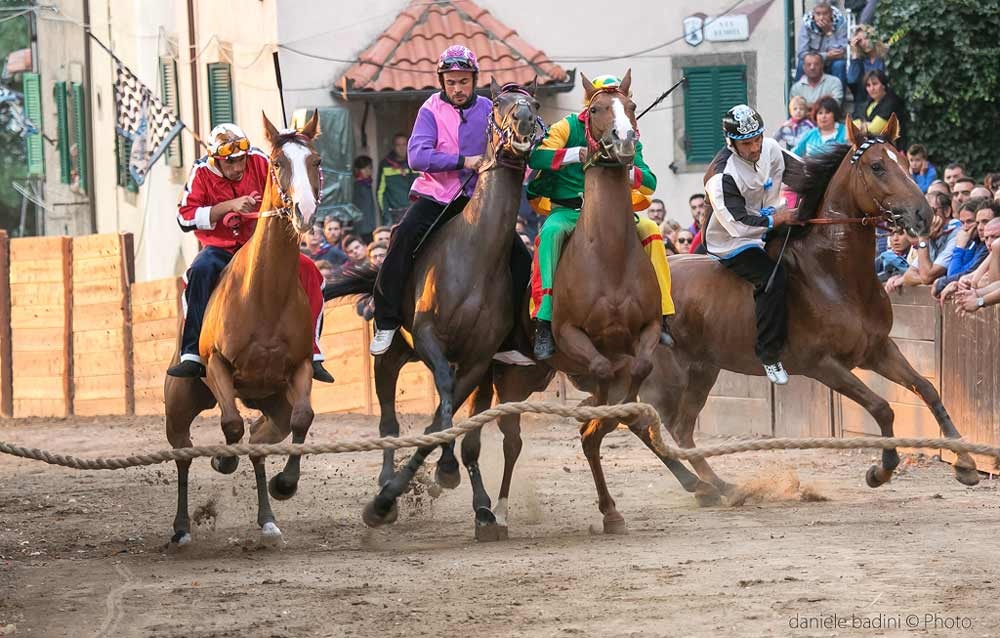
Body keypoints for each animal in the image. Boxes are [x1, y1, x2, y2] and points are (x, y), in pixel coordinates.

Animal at [162, 111, 322, 544]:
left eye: (315, 160)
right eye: (278, 163)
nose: (304, 211)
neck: (263, 295)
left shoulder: (299, 368)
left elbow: (302, 419)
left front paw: (286, 484)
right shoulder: (217, 367)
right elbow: (230, 424)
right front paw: (222, 461)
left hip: (272, 404)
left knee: (259, 442)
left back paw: (267, 519)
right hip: (179, 405)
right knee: (184, 453)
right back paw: (181, 527)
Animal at [324, 81, 544, 540]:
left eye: (533, 103)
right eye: (499, 105)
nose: (524, 122)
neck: (474, 257)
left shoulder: (479, 360)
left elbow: (452, 422)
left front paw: (471, 498)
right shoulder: (430, 340)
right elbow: (442, 399)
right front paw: (393, 495)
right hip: (391, 355)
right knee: (388, 423)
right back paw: (385, 484)